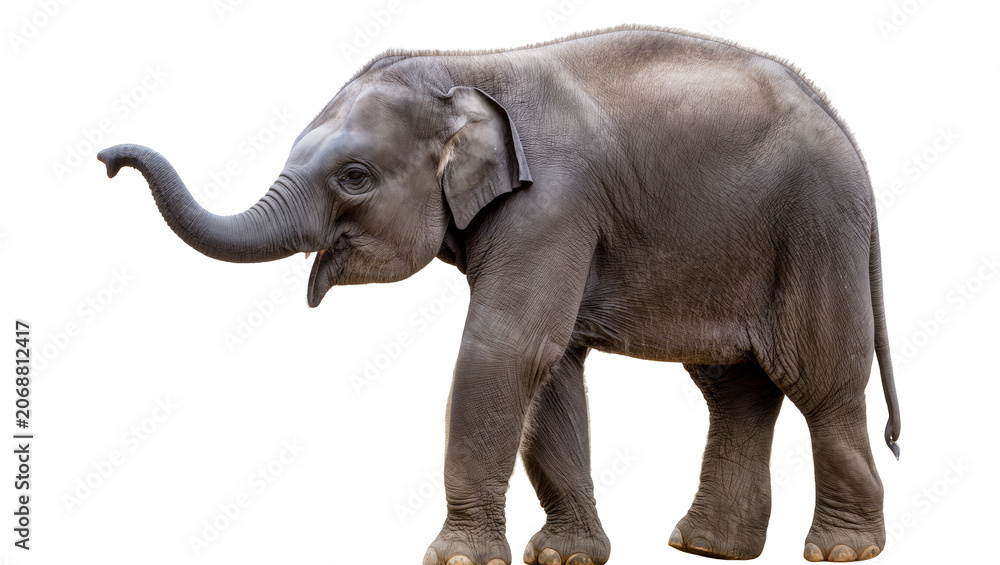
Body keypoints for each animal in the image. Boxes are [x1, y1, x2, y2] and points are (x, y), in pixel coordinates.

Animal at [98, 25, 901, 565]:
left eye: (355, 177)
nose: (106, 159)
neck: (469, 65)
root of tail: (846, 128)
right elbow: (552, 368)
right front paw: (564, 557)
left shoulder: (554, 202)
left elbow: (509, 349)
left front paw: (457, 559)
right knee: (735, 387)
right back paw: (705, 546)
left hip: (815, 229)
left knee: (820, 378)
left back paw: (840, 551)